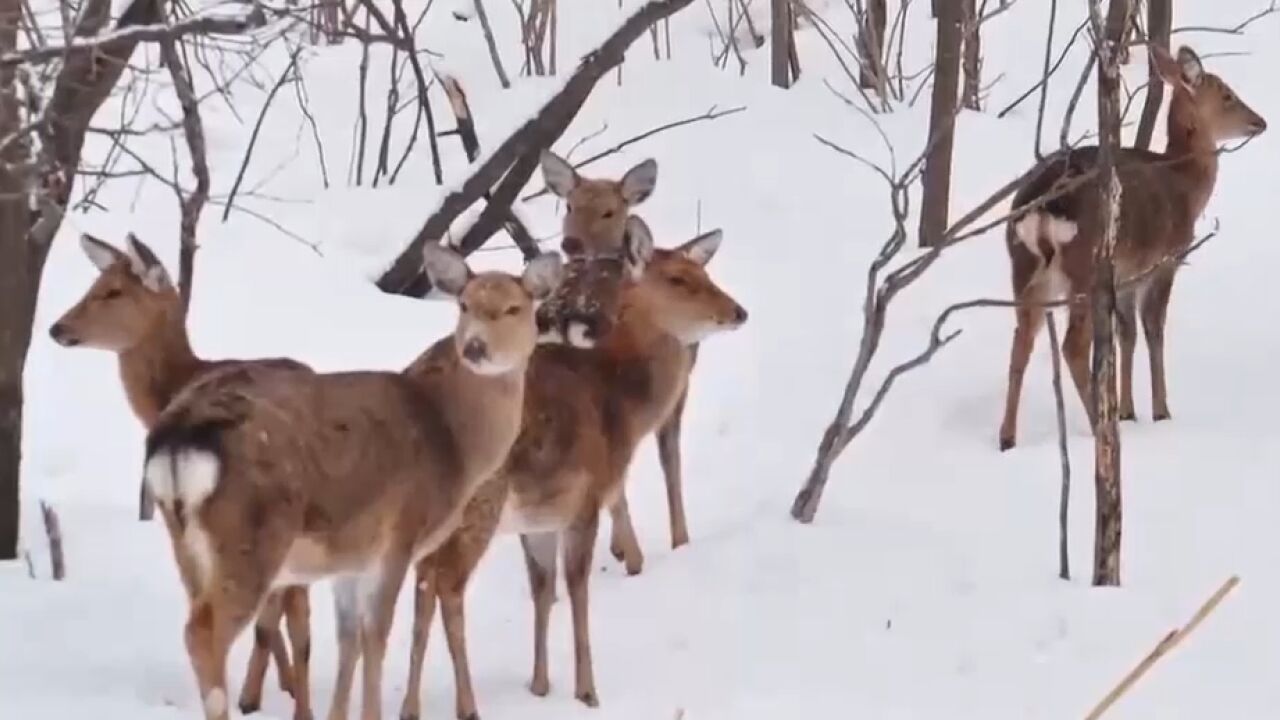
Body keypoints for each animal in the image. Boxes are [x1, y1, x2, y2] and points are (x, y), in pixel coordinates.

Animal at [138, 244, 560, 717]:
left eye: (513, 308)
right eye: (464, 305)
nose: (474, 347)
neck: (455, 443)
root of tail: (177, 439)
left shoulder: (352, 554)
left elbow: (347, 639)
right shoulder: (399, 535)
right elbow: (376, 635)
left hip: (186, 544)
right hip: (251, 536)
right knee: (203, 633)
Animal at [993, 44, 1264, 445]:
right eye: (1227, 95)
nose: (1260, 122)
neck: (1185, 185)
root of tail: (1044, 204)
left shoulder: (1125, 276)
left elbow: (1127, 333)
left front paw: (1127, 410)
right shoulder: (1165, 259)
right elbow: (1153, 329)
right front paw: (1160, 411)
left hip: (1024, 263)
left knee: (1021, 341)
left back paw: (1008, 437)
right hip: (1085, 265)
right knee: (1073, 345)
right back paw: (1097, 424)